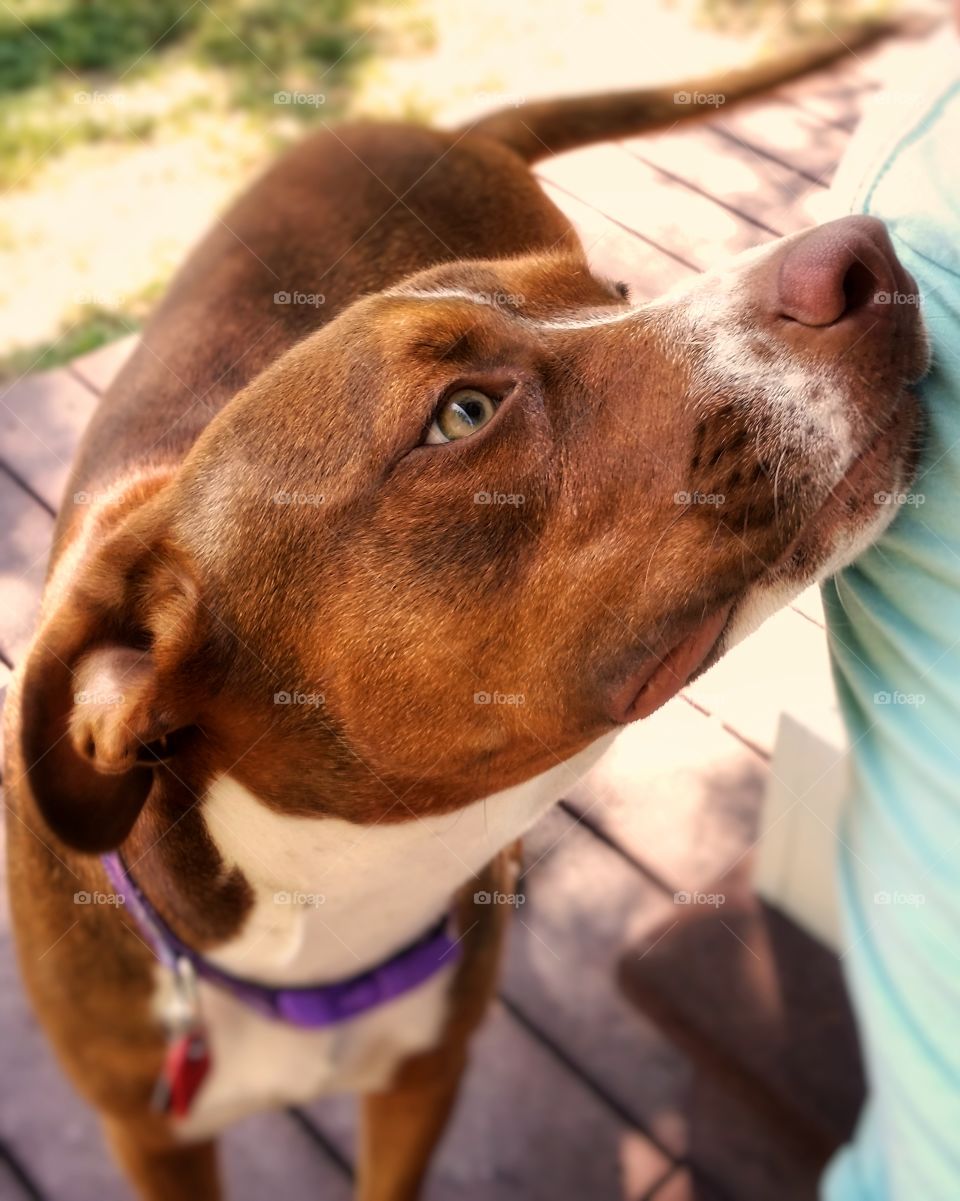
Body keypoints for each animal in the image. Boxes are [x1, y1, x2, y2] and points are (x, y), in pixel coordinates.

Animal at [3, 42, 927, 1196]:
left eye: (613, 294)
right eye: (462, 414)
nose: (868, 250)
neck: (324, 920)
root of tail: (444, 129)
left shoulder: (424, 1078)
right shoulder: (154, 1137)